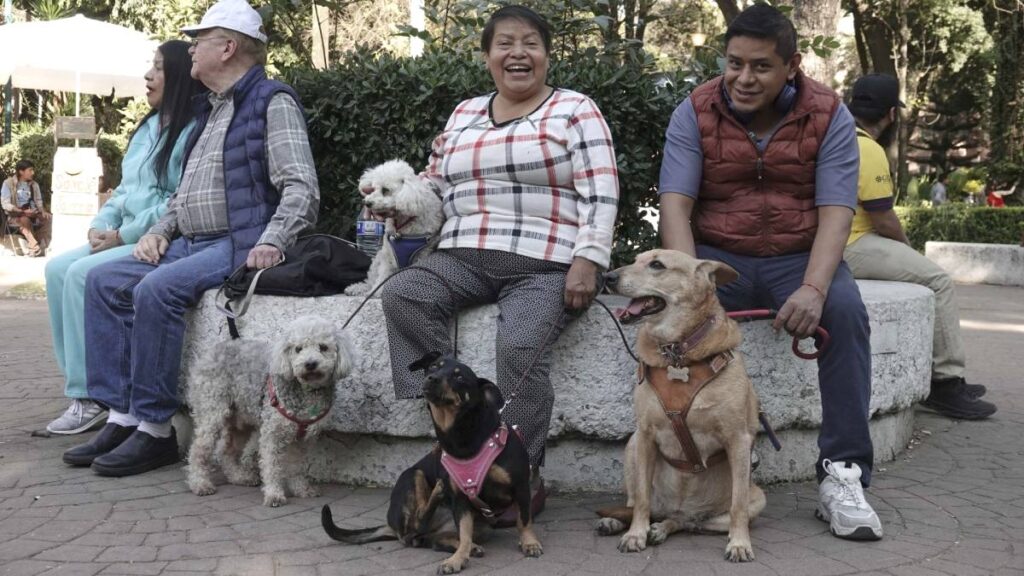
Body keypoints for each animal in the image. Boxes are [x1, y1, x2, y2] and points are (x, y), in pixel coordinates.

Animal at [598, 248, 765, 561]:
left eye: (656, 265)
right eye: (636, 260)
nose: (607, 276)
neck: (678, 354)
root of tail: (679, 507)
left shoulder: (738, 440)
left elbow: (737, 505)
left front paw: (739, 543)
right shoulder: (646, 435)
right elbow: (641, 501)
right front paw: (635, 534)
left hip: (754, 500)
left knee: (689, 522)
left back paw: (664, 528)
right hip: (633, 447)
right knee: (637, 503)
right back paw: (620, 522)